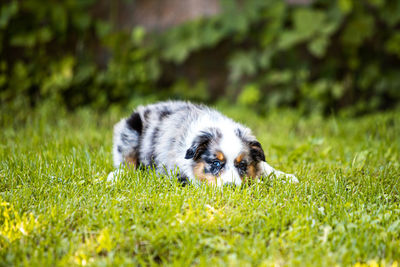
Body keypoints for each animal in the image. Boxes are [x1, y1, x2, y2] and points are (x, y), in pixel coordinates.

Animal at [106, 101, 296, 187]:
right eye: (216, 163)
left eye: (242, 165)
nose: (231, 187)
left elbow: (265, 166)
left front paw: (287, 177)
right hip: (131, 130)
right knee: (125, 161)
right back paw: (116, 176)